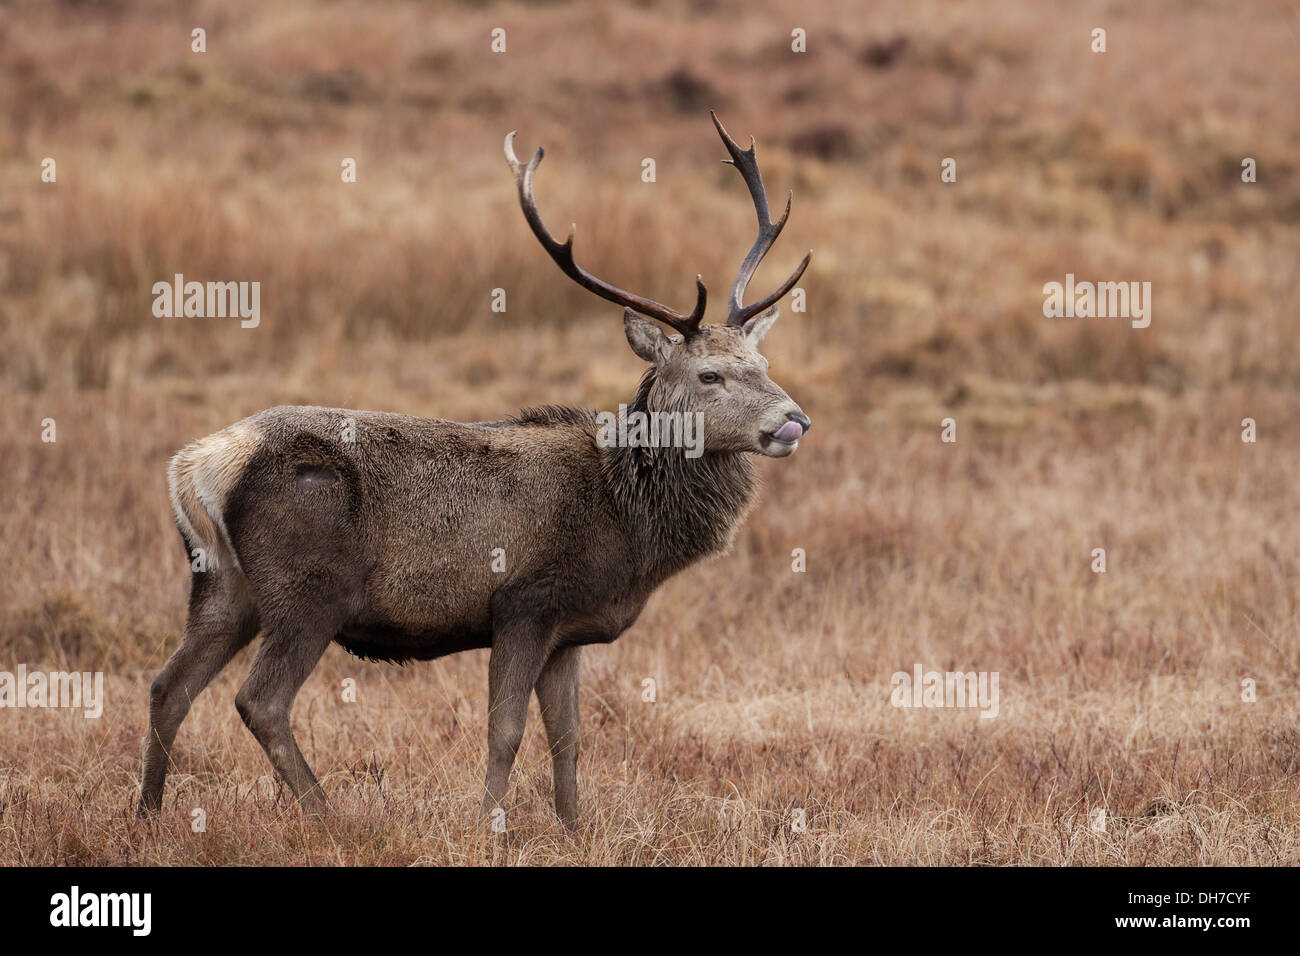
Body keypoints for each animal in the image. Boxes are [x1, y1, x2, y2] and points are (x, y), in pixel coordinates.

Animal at [142, 110, 811, 832]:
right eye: (710, 375)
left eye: (763, 365)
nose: (794, 419)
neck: (626, 522)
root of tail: (195, 468)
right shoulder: (523, 602)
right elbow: (506, 732)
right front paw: (489, 828)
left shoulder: (569, 629)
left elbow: (569, 737)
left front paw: (575, 831)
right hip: (309, 588)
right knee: (259, 700)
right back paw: (328, 816)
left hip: (223, 586)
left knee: (168, 685)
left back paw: (147, 816)